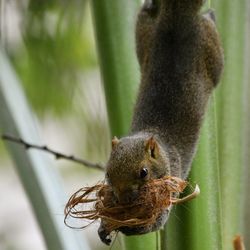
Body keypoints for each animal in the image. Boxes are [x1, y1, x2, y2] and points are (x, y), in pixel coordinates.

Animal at [97, 0, 223, 245]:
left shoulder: (171, 179)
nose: (124, 199)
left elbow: (158, 220)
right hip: (145, 35)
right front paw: (104, 226)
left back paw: (211, 14)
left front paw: (127, 225)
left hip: (212, 52)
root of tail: (178, 18)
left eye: (144, 172)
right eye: (107, 173)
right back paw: (150, 6)